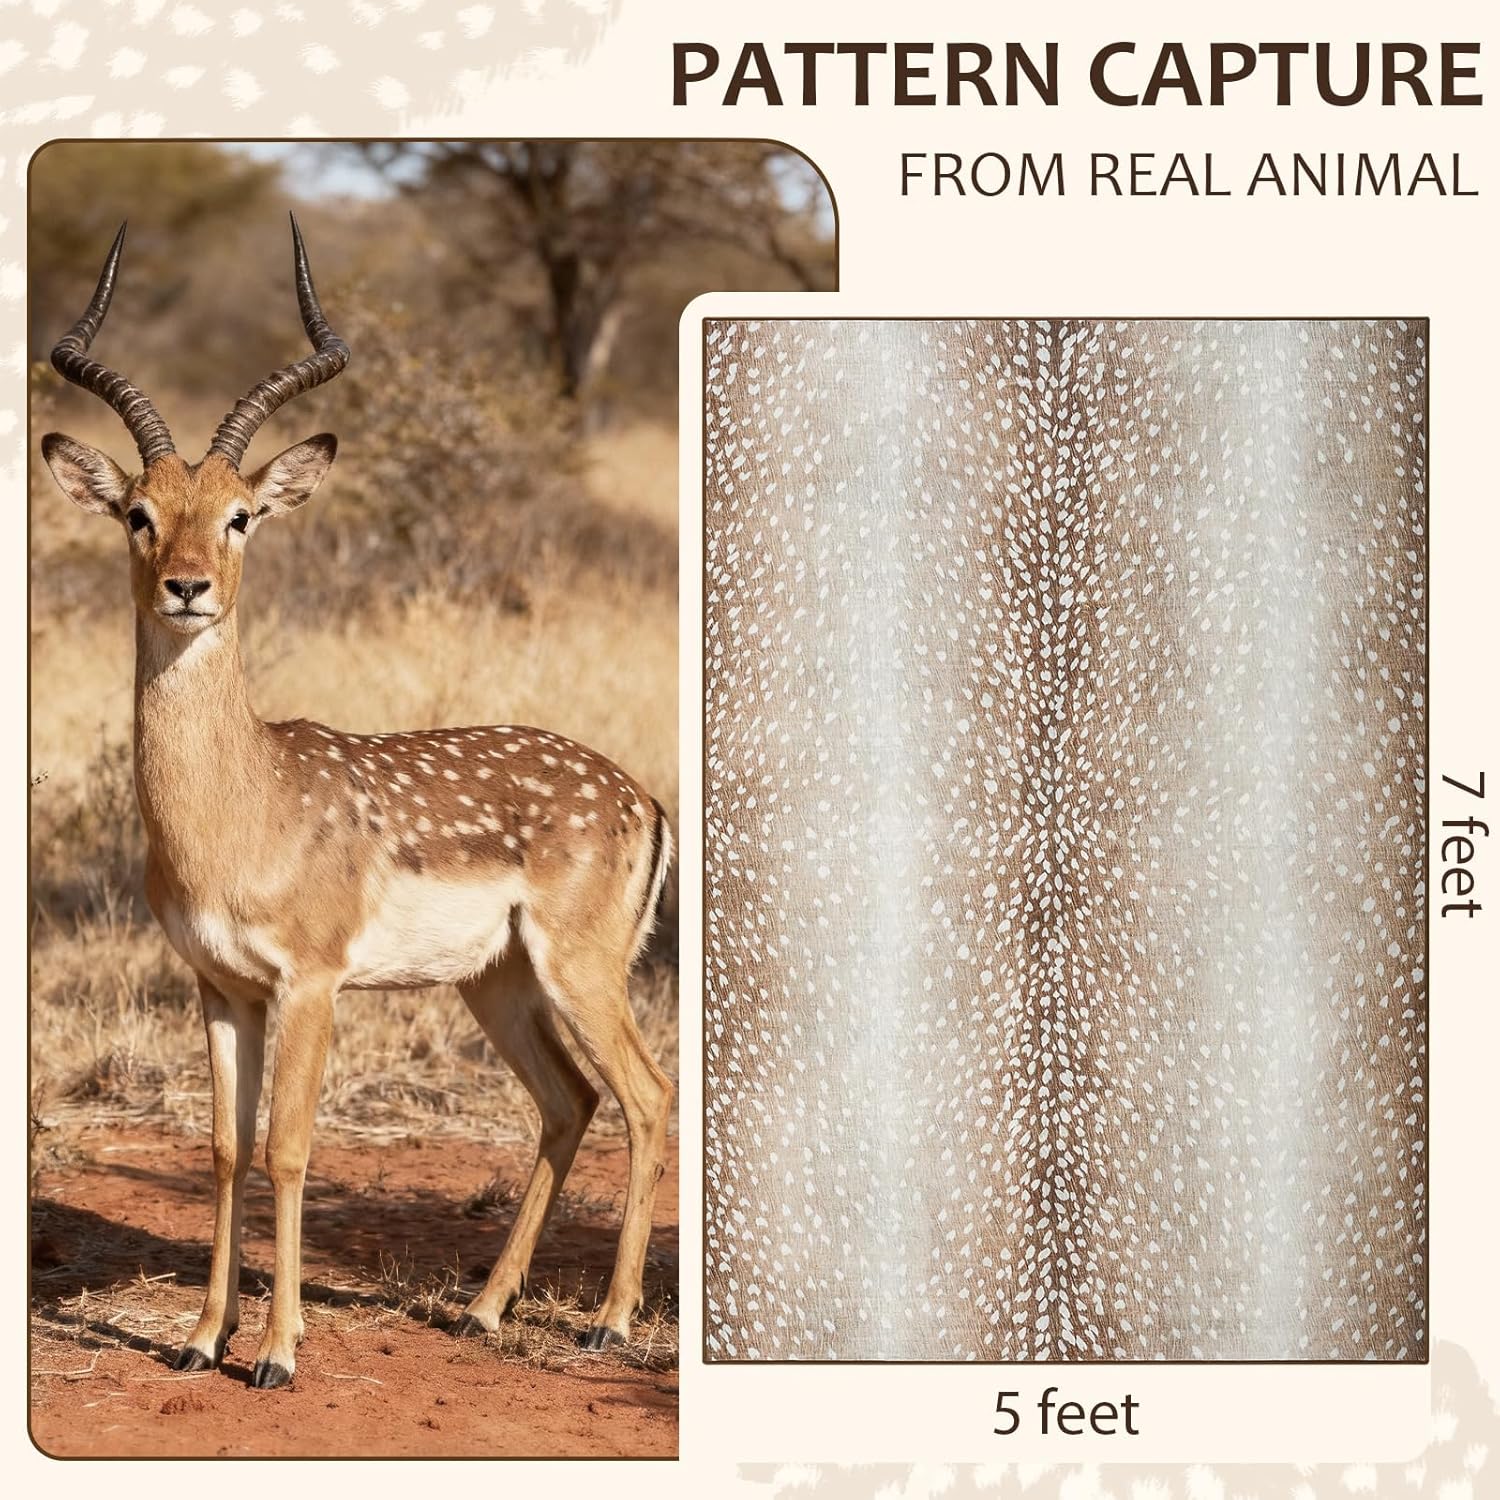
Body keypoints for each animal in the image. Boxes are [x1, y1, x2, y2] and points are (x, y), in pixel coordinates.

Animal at [40, 220, 675, 1389]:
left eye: (241, 515)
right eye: (139, 514)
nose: (187, 587)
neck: (242, 806)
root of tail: (641, 795)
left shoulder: (312, 983)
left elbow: (289, 1147)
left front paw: (279, 1355)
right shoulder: (220, 988)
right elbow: (224, 1148)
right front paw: (200, 1340)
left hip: (579, 971)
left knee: (646, 1095)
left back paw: (607, 1325)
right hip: (497, 984)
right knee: (570, 1101)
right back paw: (481, 1313)